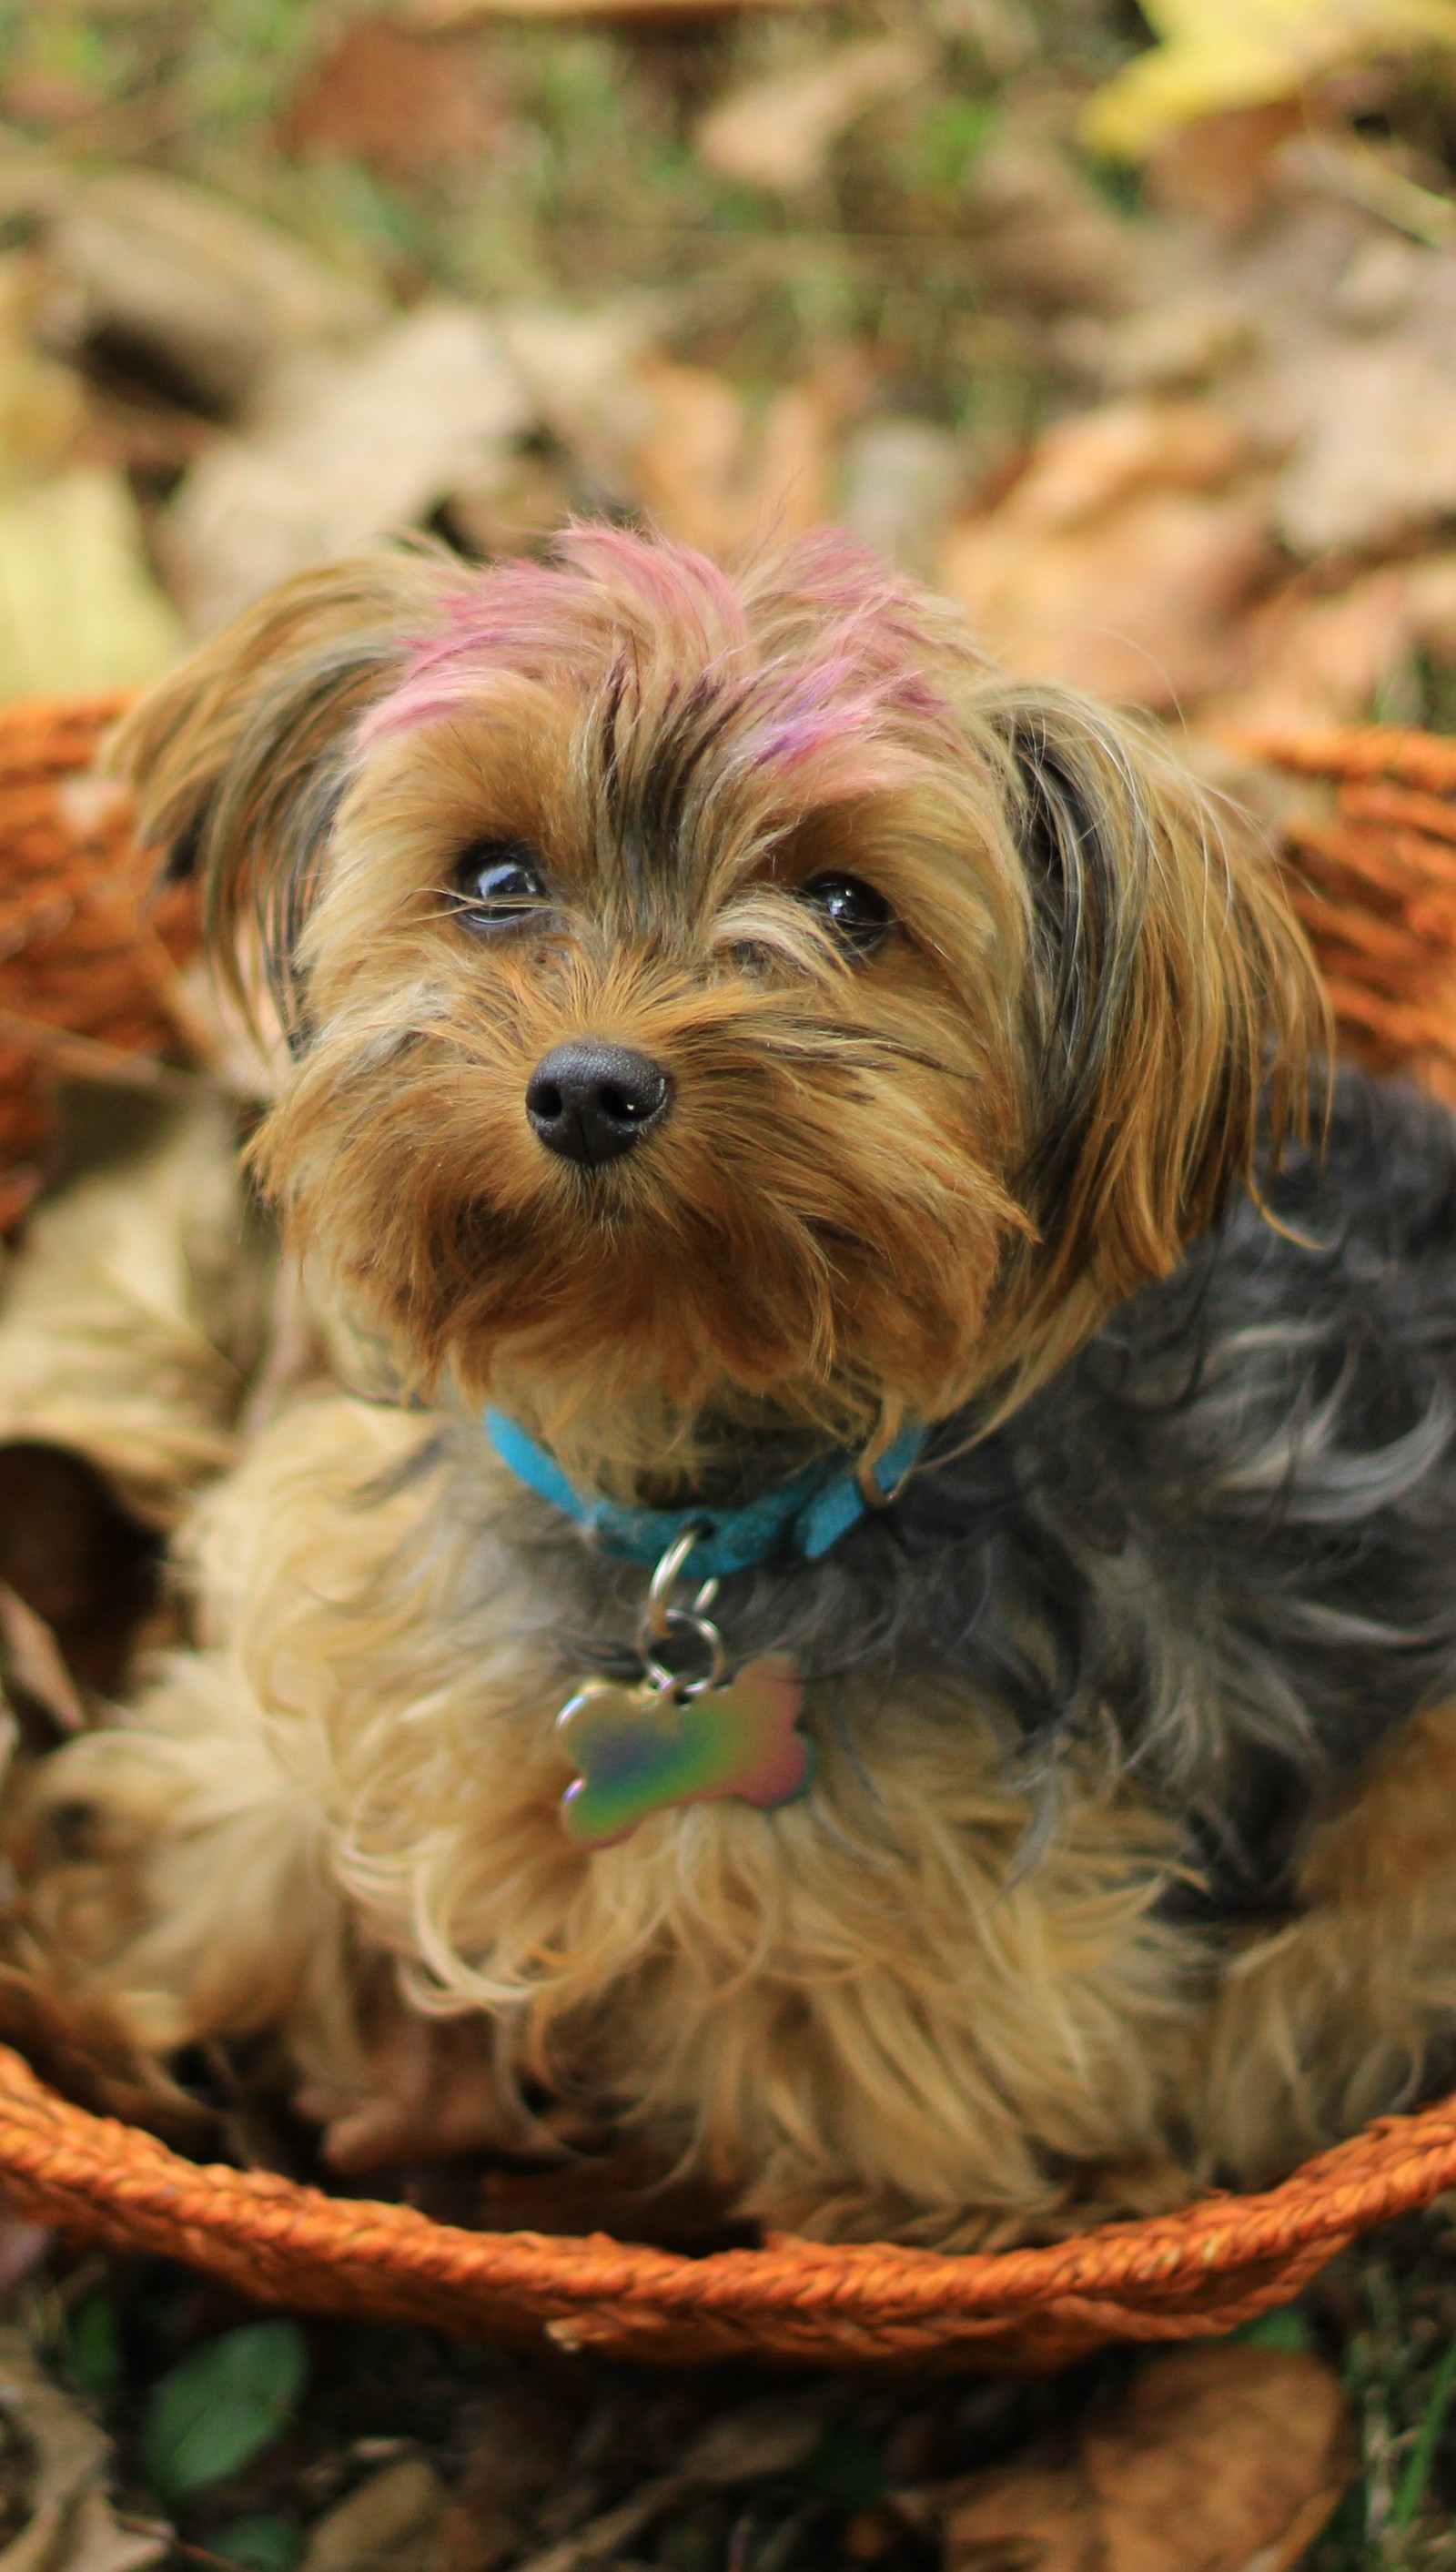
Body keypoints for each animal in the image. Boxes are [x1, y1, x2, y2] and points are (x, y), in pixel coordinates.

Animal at [14, 527, 1456, 2253]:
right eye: (494, 877)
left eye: (847, 904)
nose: (589, 1086)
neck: (674, 1483)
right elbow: (247, 1820)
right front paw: (108, 1945)